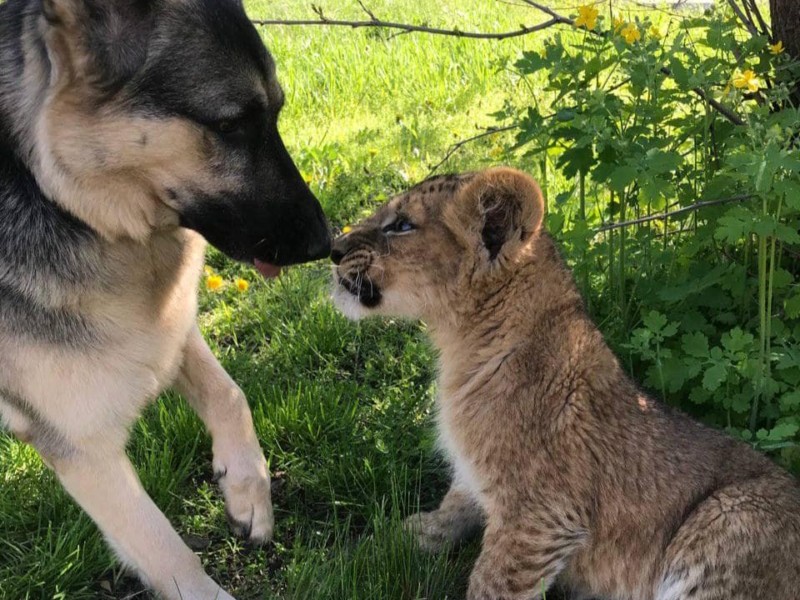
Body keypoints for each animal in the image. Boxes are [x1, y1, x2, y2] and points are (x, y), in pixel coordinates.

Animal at [0, 0, 332, 596]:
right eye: (229, 125)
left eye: (276, 113)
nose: (327, 242)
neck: (52, 191)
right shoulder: (85, 449)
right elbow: (168, 554)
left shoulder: (165, 329)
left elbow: (230, 395)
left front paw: (246, 492)